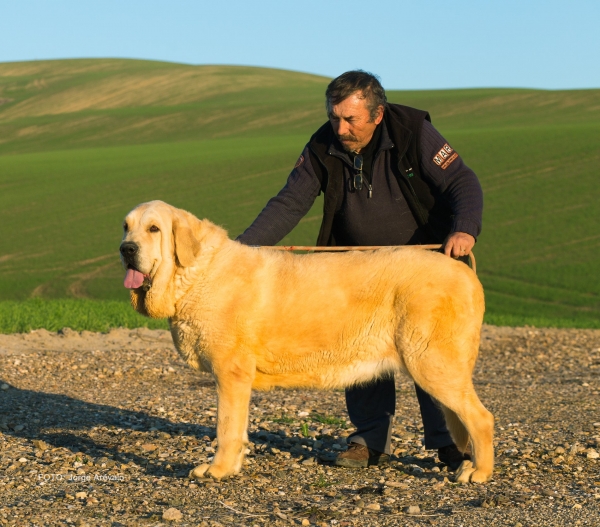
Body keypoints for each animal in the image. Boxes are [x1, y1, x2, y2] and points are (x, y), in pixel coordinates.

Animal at [118, 199, 492, 482]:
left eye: (154, 229)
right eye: (126, 227)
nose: (126, 249)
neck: (194, 273)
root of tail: (465, 271)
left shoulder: (230, 374)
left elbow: (225, 427)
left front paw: (218, 470)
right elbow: (238, 430)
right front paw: (233, 466)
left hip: (431, 361)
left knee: (481, 418)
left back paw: (479, 472)